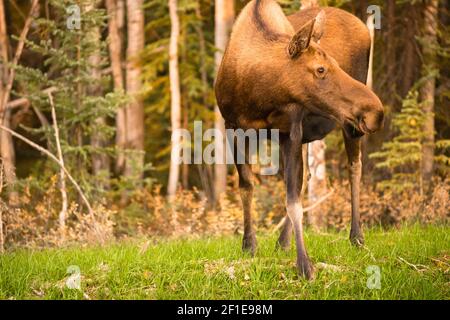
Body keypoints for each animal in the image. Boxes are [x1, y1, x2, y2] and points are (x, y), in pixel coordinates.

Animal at [214, 0, 384, 278]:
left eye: (335, 64)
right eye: (320, 69)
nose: (376, 112)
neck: (259, 97)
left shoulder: (290, 130)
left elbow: (291, 200)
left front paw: (304, 264)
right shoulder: (233, 127)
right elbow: (248, 186)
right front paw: (249, 245)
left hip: (349, 125)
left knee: (354, 166)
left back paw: (356, 236)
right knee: (308, 178)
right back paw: (283, 242)